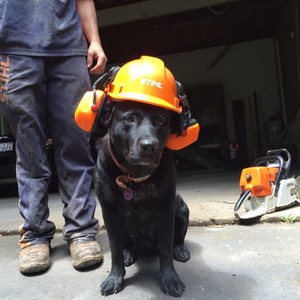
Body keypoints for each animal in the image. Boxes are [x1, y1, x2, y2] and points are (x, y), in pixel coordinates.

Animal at [95, 101, 190, 298]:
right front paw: (114, 278)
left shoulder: (167, 208)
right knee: (125, 244)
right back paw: (127, 253)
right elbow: (114, 249)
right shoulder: (109, 212)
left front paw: (170, 278)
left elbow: (166, 250)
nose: (149, 146)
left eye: (161, 122)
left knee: (178, 238)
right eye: (129, 119)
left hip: (182, 208)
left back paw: (180, 249)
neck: (135, 177)